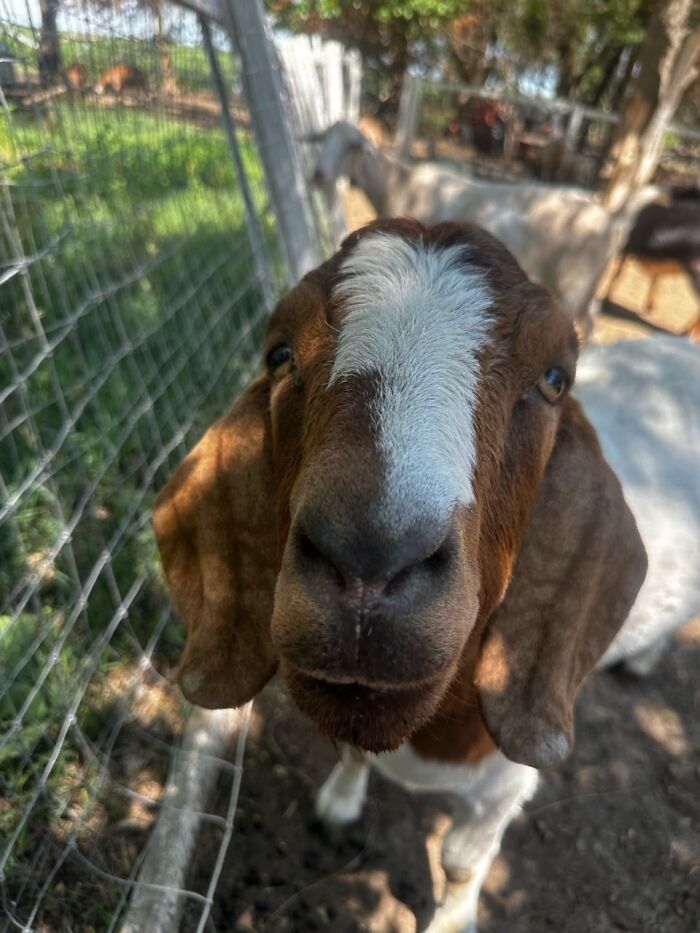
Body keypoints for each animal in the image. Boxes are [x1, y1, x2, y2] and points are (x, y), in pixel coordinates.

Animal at [153, 219, 700, 933]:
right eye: (278, 355)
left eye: (555, 378)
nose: (370, 557)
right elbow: (351, 752)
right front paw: (338, 804)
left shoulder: (505, 780)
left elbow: (463, 860)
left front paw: (451, 919)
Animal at [310, 120, 658, 330]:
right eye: (323, 140)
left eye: (352, 146)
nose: (318, 175)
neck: (400, 184)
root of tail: (611, 218)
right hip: (587, 287)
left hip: (575, 282)